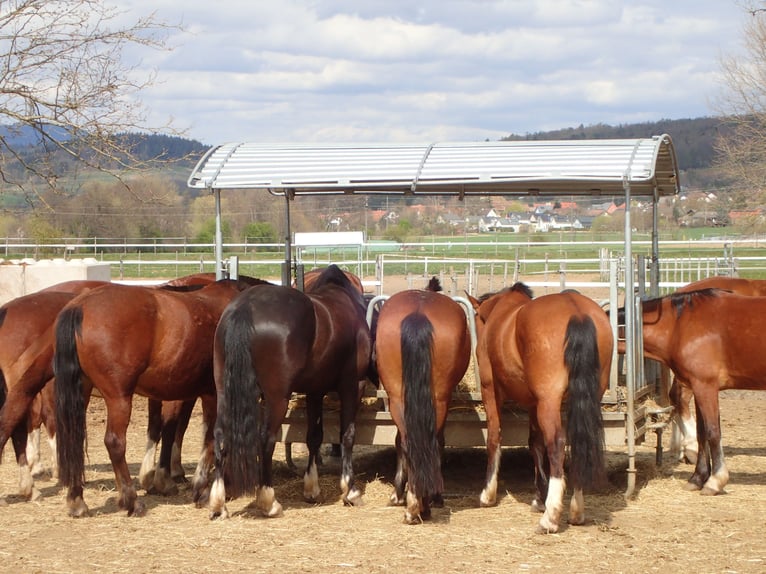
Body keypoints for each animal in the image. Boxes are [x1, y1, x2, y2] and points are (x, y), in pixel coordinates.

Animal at [53, 277, 262, 517]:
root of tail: (80, 306)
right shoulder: (214, 394)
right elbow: (210, 438)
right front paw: (201, 489)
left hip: (82, 391)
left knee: (74, 439)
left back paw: (76, 500)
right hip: (119, 397)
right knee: (115, 443)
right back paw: (131, 500)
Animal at [208, 264, 371, 519]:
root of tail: (244, 308)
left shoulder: (315, 390)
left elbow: (314, 436)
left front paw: (312, 488)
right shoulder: (353, 384)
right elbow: (347, 434)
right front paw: (350, 490)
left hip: (224, 391)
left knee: (220, 436)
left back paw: (218, 504)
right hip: (277, 397)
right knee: (266, 438)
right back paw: (269, 502)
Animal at [374, 277, 470, 523]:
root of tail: (418, 315)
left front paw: (397, 494)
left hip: (398, 399)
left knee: (408, 443)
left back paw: (413, 504)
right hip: (439, 400)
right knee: (431, 443)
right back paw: (422, 506)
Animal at [468, 283, 613, 533]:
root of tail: (577, 312)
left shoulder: (490, 391)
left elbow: (494, 437)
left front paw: (488, 494)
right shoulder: (534, 403)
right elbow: (534, 444)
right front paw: (538, 497)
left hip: (549, 401)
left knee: (557, 444)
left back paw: (550, 518)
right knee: (578, 443)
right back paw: (576, 511)